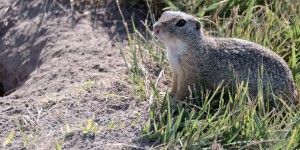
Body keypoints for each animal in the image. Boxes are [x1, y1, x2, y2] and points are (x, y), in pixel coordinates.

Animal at [154, 10, 298, 102]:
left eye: (181, 23)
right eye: (163, 14)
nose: (155, 28)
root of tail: (293, 89)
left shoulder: (190, 74)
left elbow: (182, 90)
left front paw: (173, 103)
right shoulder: (176, 71)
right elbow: (174, 85)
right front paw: (165, 94)